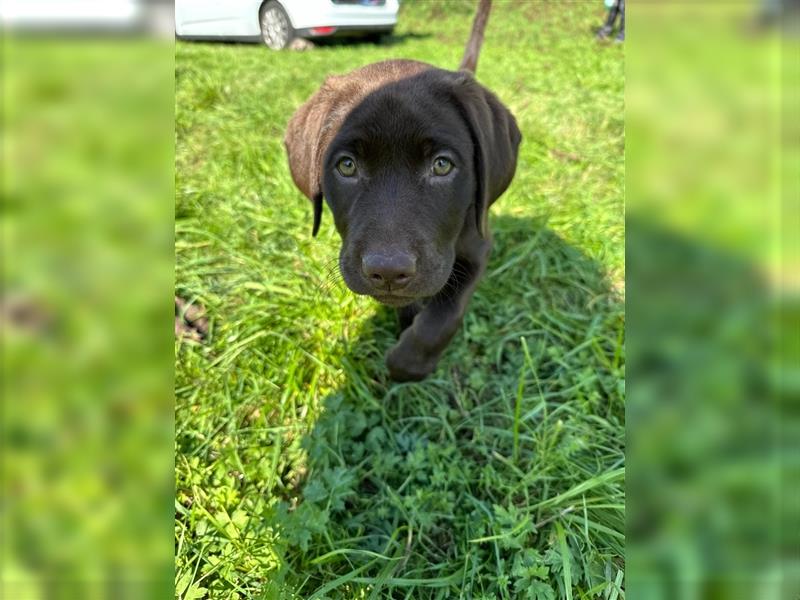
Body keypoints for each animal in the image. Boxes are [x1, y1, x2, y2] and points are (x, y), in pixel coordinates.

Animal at [284, 0, 520, 382]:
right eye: (346, 166)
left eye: (442, 165)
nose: (389, 272)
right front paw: (405, 325)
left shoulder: (477, 248)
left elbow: (445, 314)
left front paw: (407, 364)